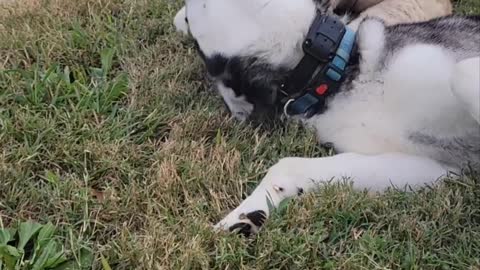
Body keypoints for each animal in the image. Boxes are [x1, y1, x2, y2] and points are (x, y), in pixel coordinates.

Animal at [174, 0, 478, 236]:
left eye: (190, 16)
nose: (180, 15)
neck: (335, 72)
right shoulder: (438, 167)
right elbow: (288, 165)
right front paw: (246, 215)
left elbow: (462, 73)